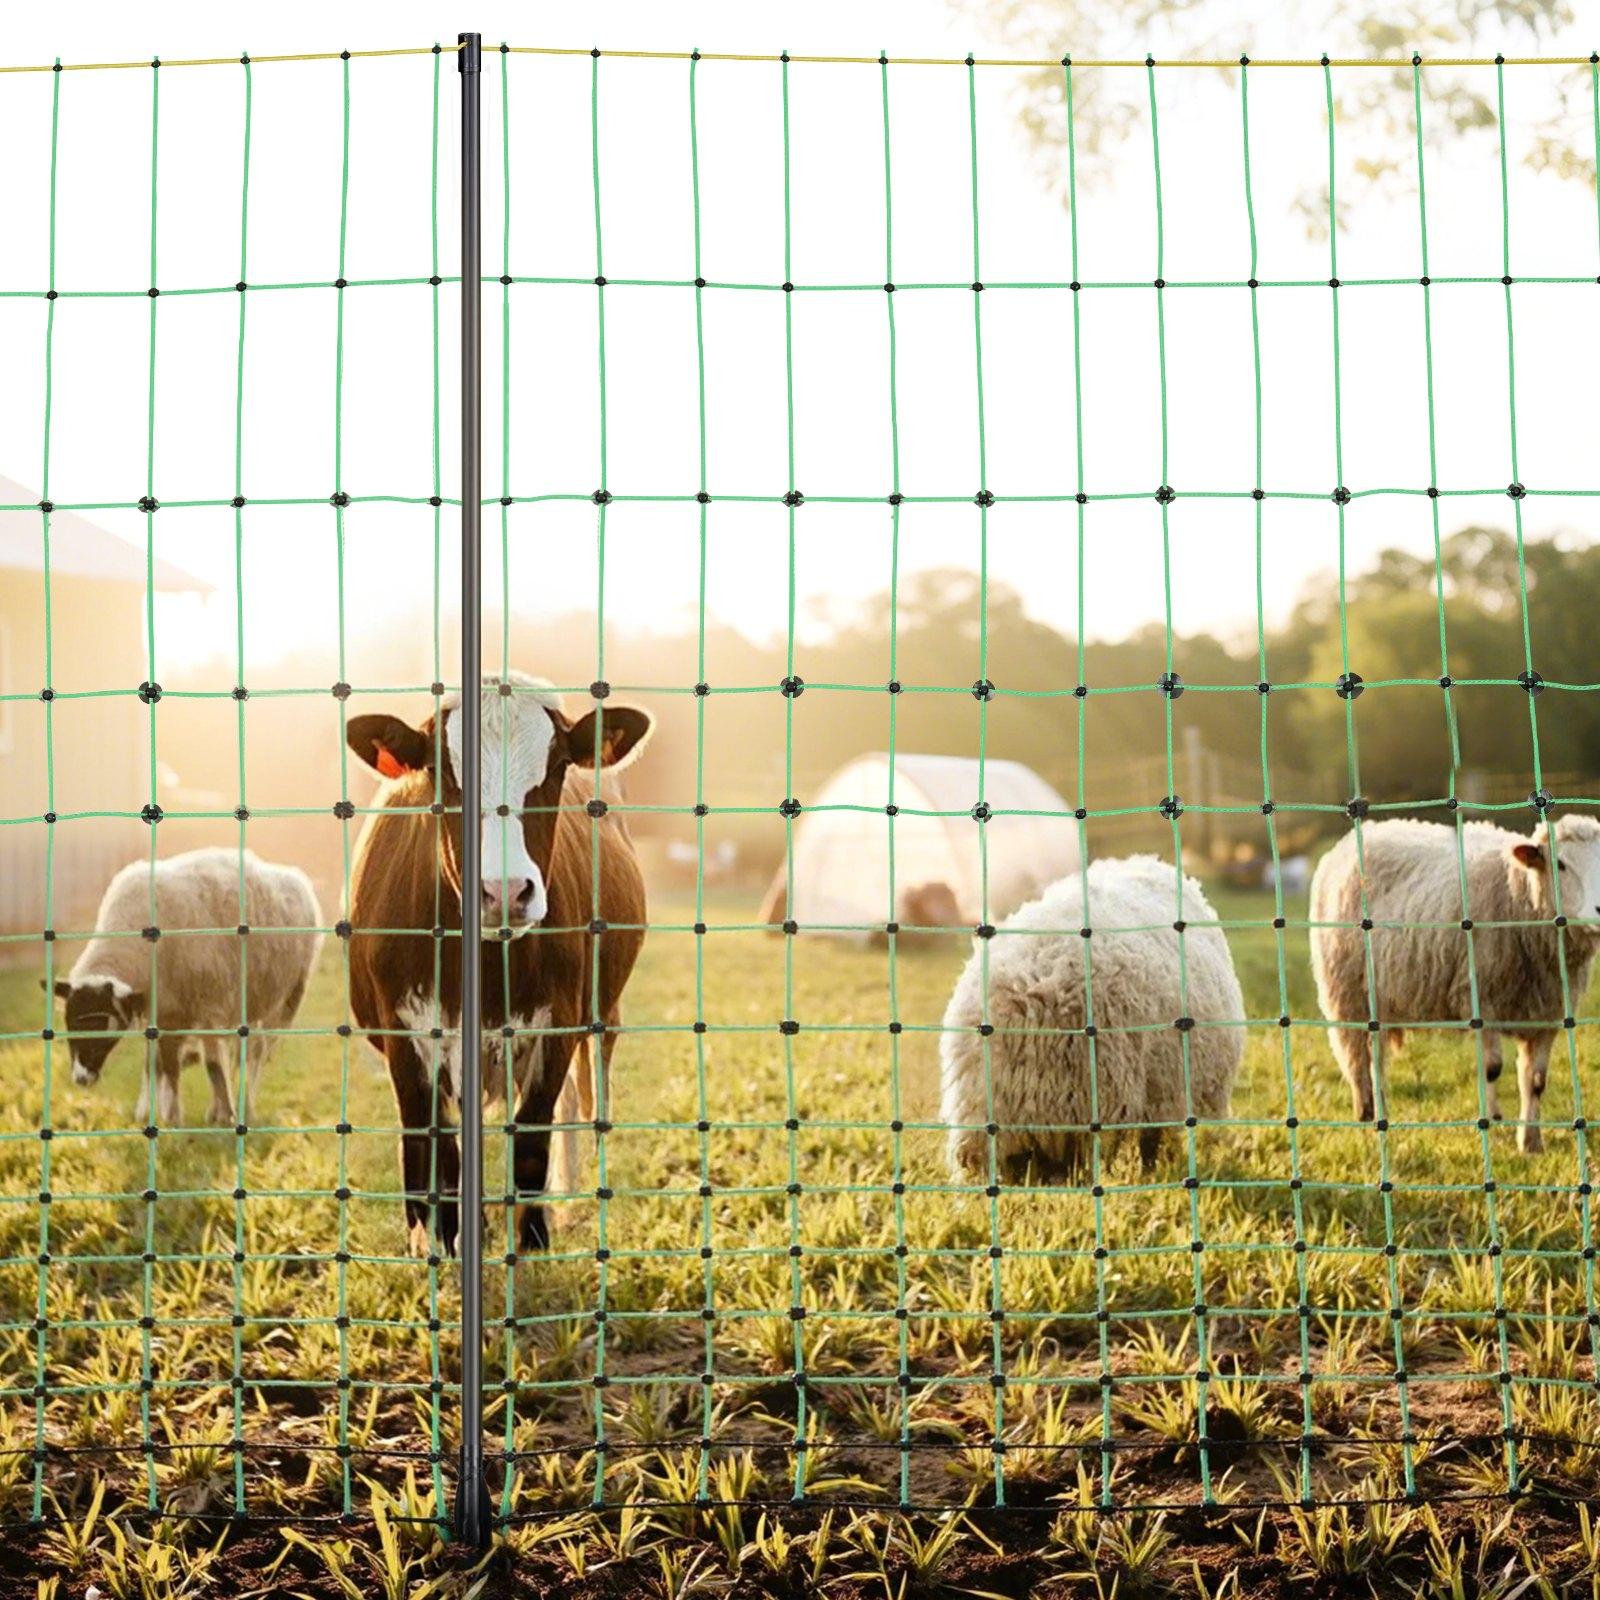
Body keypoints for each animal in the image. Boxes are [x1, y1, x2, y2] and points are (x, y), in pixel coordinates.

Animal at [47, 847, 322, 1125]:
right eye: (70, 1022)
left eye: (103, 1024)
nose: (81, 1078)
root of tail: (296, 877)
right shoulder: (164, 1011)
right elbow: (159, 1065)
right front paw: (159, 1114)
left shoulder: (209, 1006)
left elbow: (210, 1065)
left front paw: (208, 1115)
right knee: (238, 1051)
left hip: (286, 998)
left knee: (256, 1053)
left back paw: (245, 1107)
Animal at [1308, 815, 1600, 1151]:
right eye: (1560, 864)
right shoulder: (1481, 997)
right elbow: (1491, 1068)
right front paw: (1491, 1126)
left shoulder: (1548, 1014)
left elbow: (1536, 1082)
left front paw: (1530, 1143)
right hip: (1348, 993)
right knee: (1363, 1059)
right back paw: (1369, 1113)